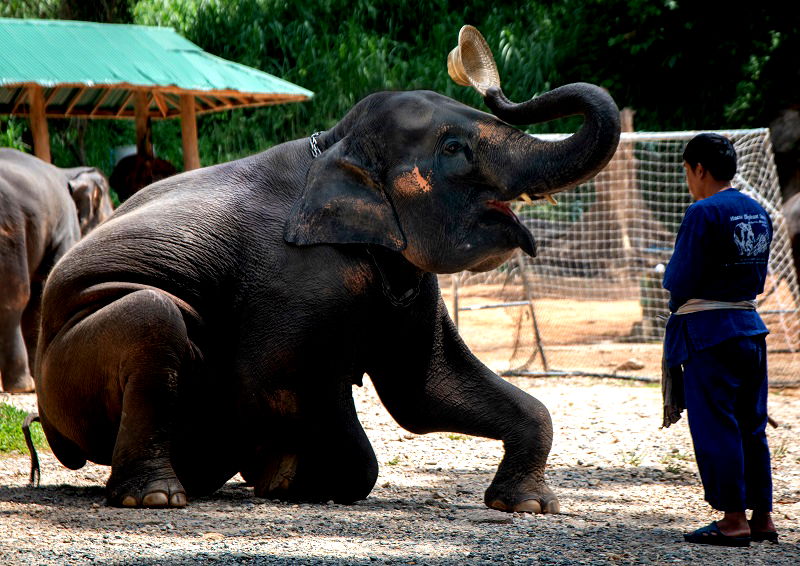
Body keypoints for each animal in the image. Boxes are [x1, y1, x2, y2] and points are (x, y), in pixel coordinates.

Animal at [34, 83, 620, 516]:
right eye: (453, 148)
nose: (496, 87)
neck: (335, 142)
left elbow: (427, 389)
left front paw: (530, 507)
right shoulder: (298, 276)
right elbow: (275, 380)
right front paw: (295, 482)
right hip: (65, 375)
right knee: (151, 314)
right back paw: (157, 497)